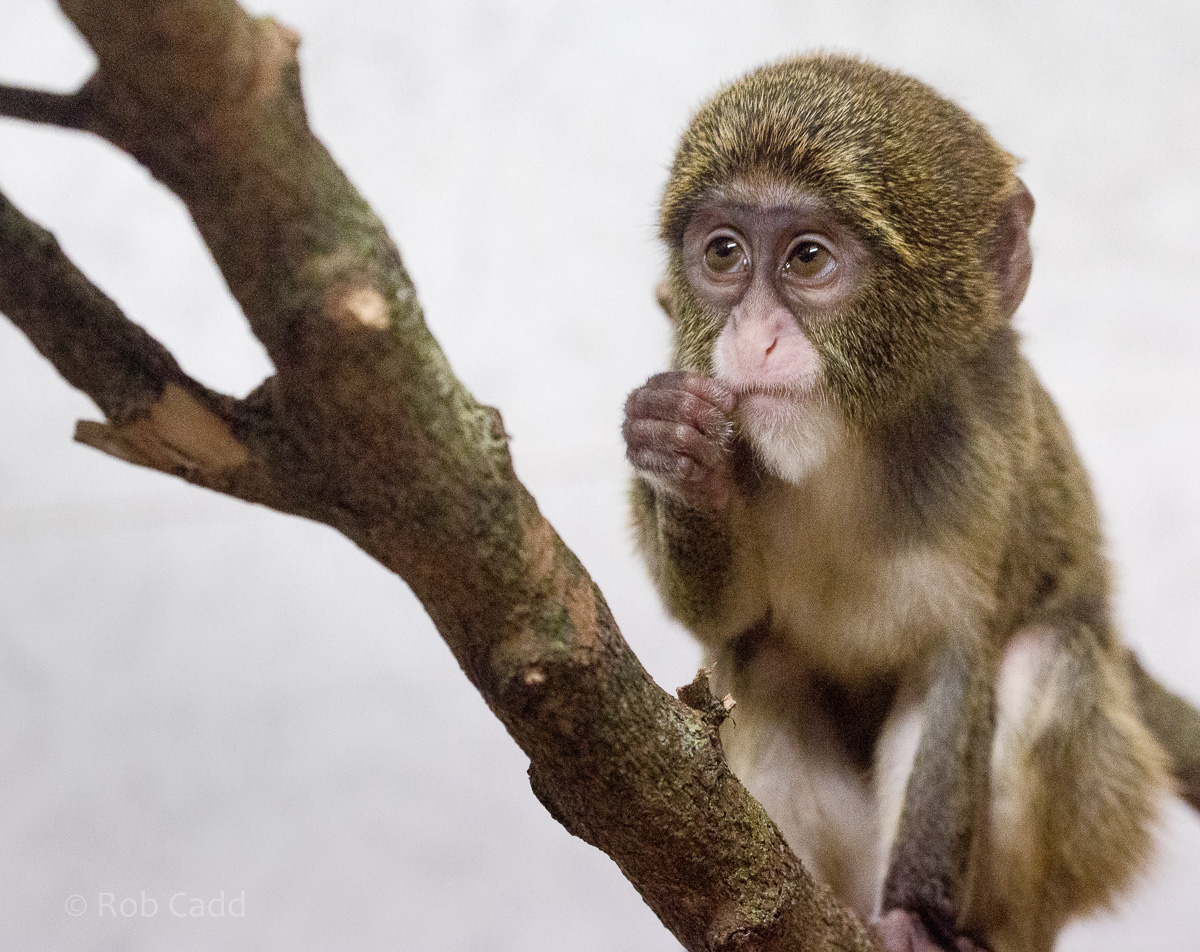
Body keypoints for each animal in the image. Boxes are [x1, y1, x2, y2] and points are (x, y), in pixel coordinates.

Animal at [623, 54, 1194, 952]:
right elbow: (726, 617)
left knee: (1047, 654)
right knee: (763, 659)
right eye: (723, 252)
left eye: (808, 259)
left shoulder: (987, 455)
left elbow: (955, 658)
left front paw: (912, 919)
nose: (753, 336)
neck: (849, 448)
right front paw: (675, 451)